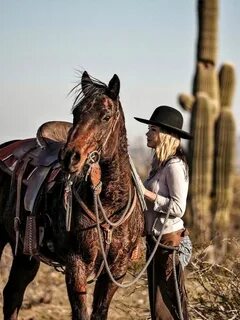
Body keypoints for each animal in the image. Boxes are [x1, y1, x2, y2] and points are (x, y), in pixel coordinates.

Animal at [0, 72, 143, 320]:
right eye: (76, 113)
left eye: (106, 116)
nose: (70, 157)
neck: (108, 206)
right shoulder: (76, 265)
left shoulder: (116, 270)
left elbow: (99, 312)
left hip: (25, 255)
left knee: (13, 294)